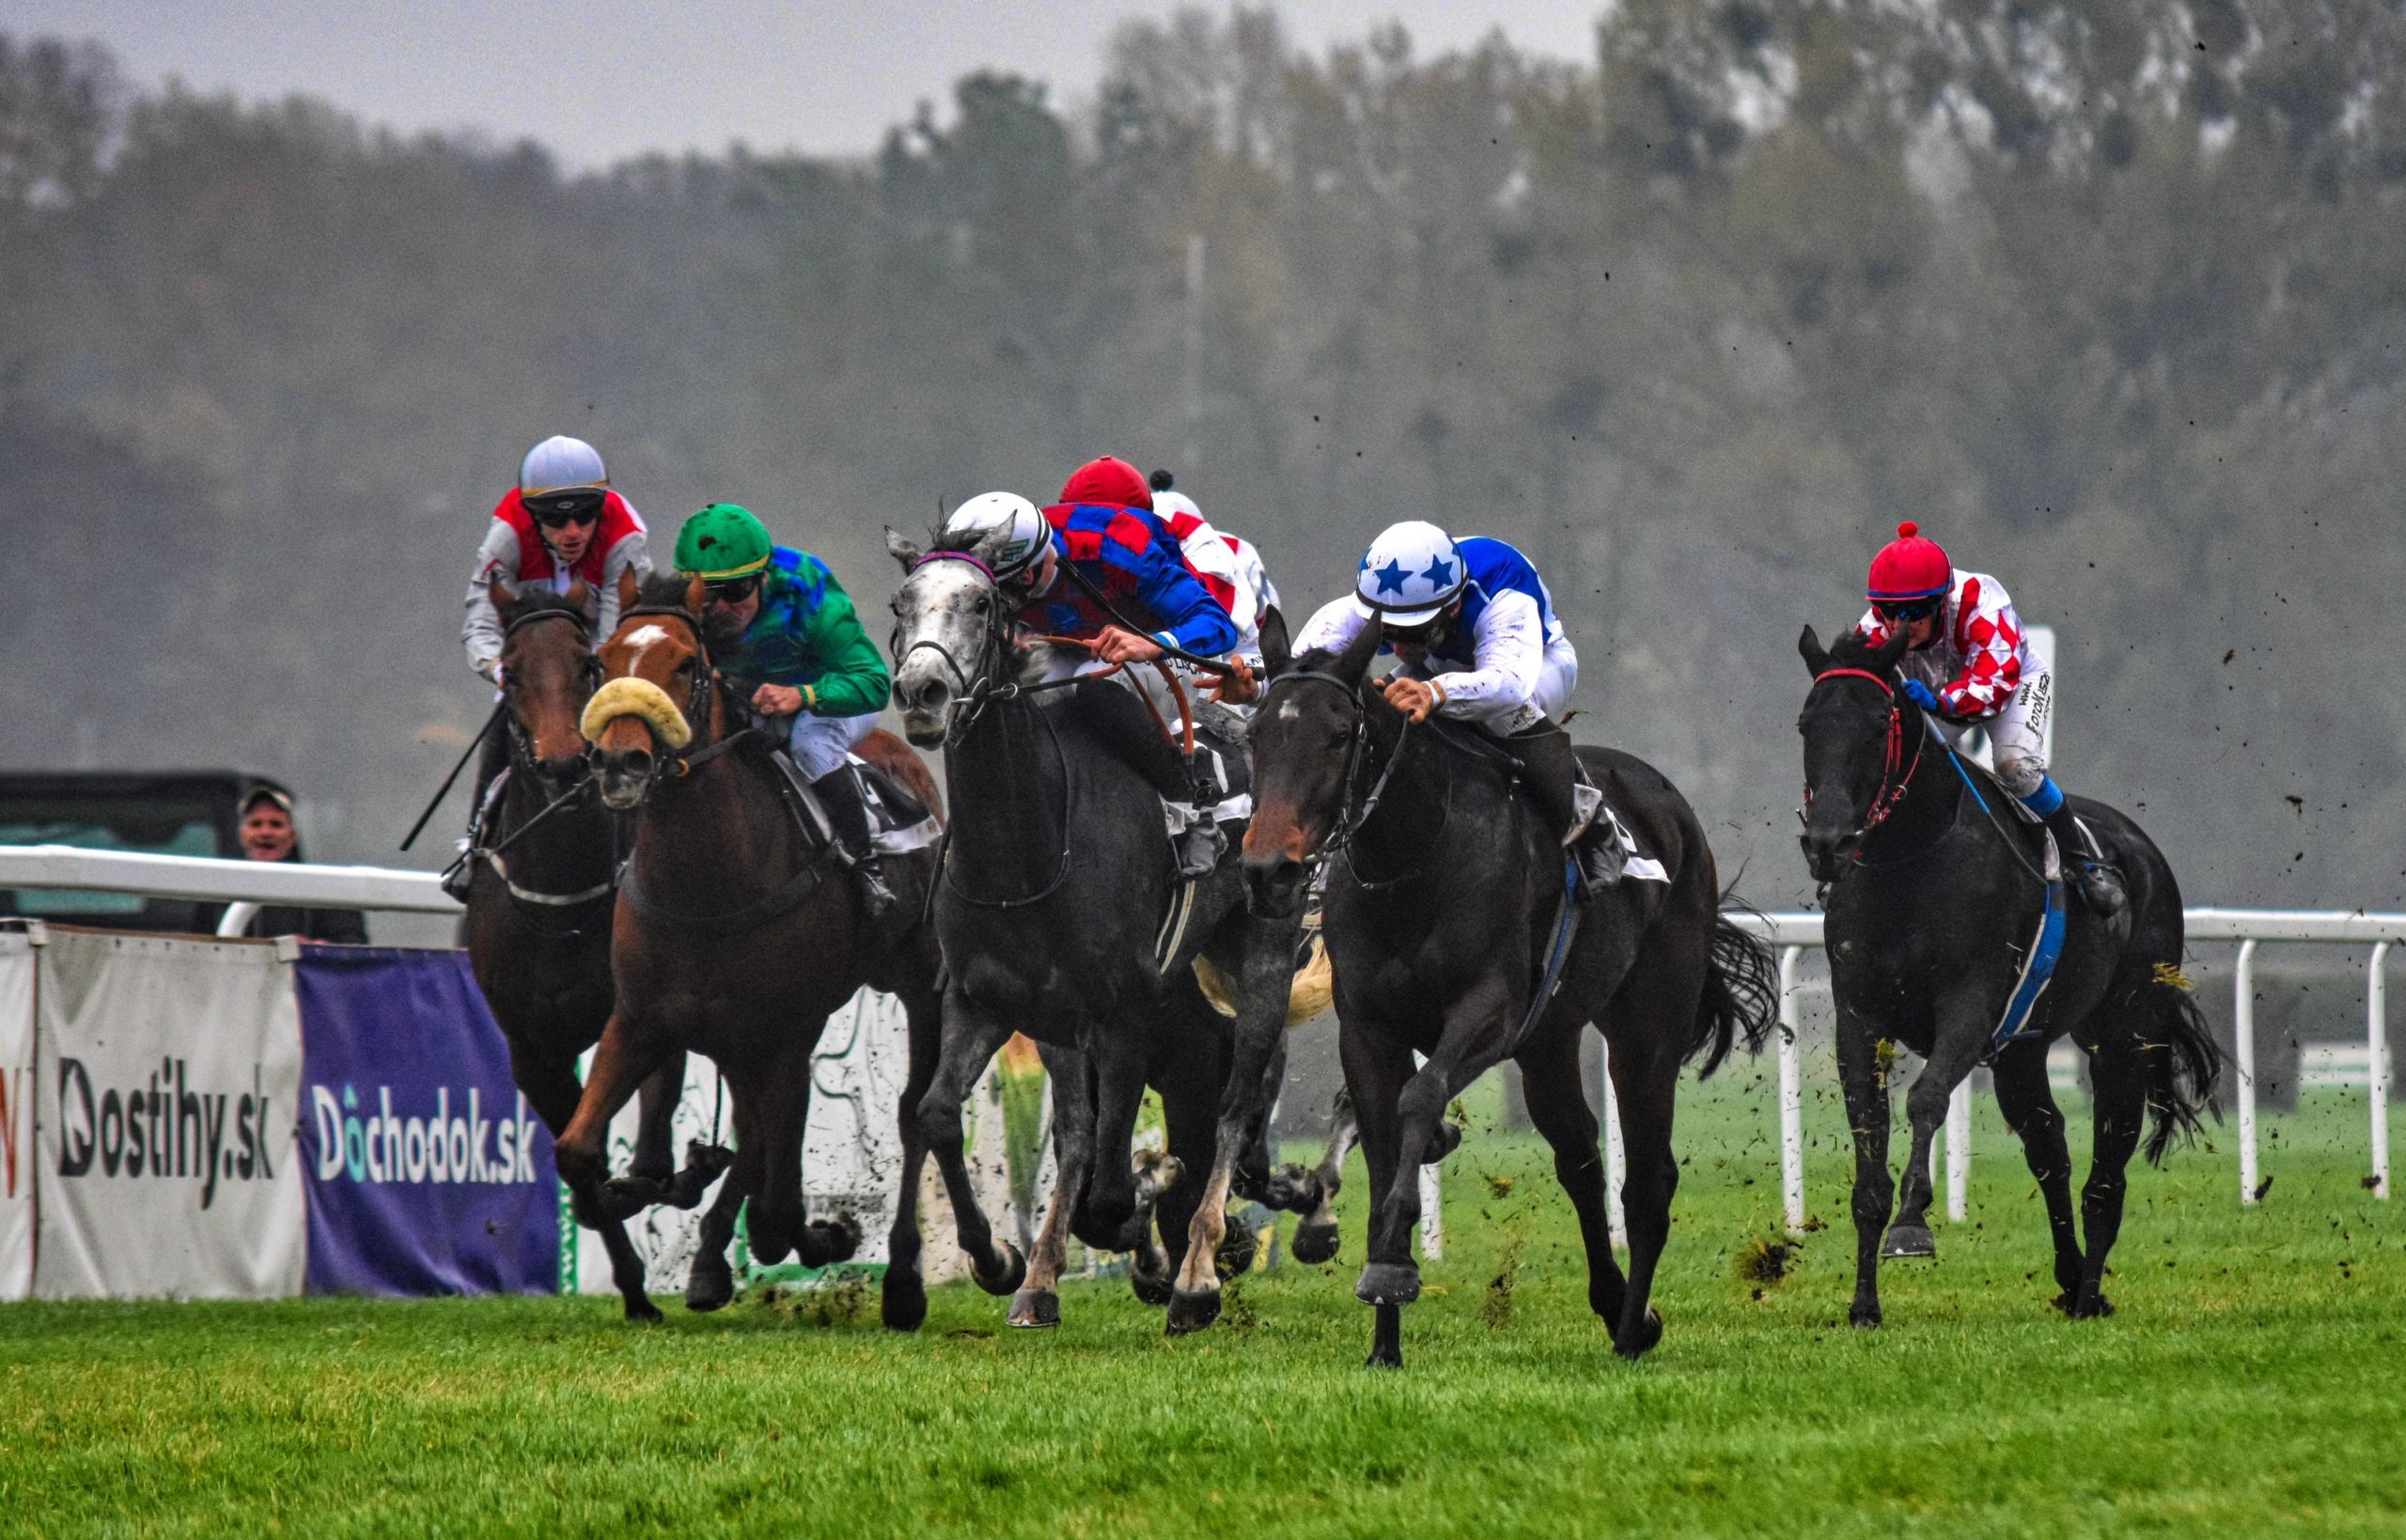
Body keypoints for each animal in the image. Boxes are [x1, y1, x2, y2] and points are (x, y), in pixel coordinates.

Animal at [461, 580, 702, 1328]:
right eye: (510, 673)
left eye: (585, 666)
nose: (568, 762)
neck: (558, 899)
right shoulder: (531, 1049)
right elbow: (579, 1158)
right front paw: (631, 1282)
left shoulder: (646, 1015)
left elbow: (647, 1157)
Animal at [560, 572, 967, 1328]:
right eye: (601, 662)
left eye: (686, 664)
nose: (621, 761)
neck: (708, 884)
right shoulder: (641, 1021)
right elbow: (578, 1152)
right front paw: (640, 1208)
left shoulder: (784, 1033)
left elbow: (776, 1206)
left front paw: (825, 1234)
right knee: (756, 1141)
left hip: (918, 983)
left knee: (911, 1115)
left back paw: (906, 1277)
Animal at [1241, 620, 1789, 1366]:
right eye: (1255, 733)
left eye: (1336, 735)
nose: (1267, 870)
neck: (1416, 858)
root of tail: (1671, 807)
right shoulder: (1368, 1030)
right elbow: (1382, 1145)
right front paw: (1384, 1341)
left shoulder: (1490, 1013)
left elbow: (1420, 1099)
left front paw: (1391, 1267)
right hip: (1548, 1044)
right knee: (1580, 1160)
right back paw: (1618, 1305)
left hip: (1646, 1027)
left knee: (1647, 1181)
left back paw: (1629, 1332)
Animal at [1799, 625, 2223, 1328]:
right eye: (1807, 723)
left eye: (1880, 722)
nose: (1828, 841)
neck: (1911, 859)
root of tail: (2141, 850)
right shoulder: (1858, 1018)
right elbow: (1868, 1144)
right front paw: (1863, 1305)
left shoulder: (1970, 1005)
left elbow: (1926, 1099)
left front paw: (1913, 1224)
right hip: (2023, 1048)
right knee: (2048, 1144)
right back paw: (2073, 1277)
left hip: (2122, 1033)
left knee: (2108, 1167)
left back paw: (2089, 1290)